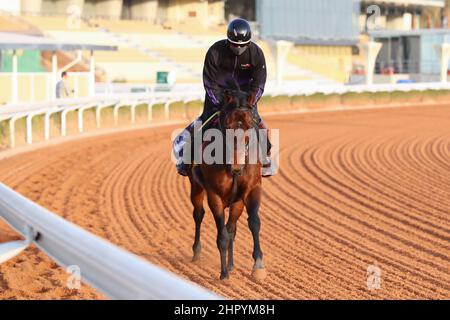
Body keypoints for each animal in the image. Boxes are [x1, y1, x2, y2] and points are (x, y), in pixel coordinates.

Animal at [187, 85, 268, 280]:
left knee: (232, 228)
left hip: (236, 201)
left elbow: (253, 223)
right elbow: (221, 234)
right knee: (198, 215)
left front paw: (258, 265)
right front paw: (223, 273)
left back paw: (231, 264)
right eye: (227, 125)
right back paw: (197, 252)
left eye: (249, 125)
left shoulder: (252, 189)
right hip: (196, 187)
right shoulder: (214, 195)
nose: (237, 164)